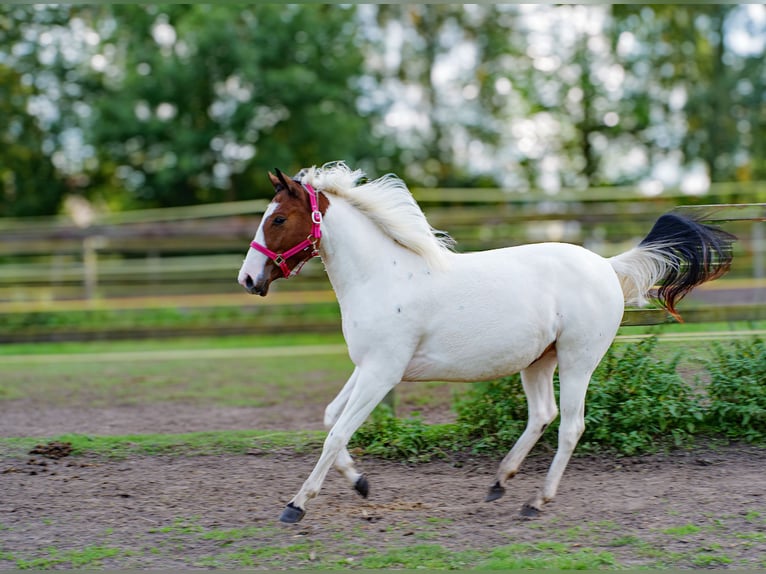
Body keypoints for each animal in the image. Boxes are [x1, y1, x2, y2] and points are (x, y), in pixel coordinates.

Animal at [237, 162, 735, 524]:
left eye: (278, 218)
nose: (247, 279)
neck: (383, 276)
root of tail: (608, 266)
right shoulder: (367, 367)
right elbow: (329, 418)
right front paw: (360, 483)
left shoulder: (383, 372)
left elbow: (336, 432)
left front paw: (296, 505)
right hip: (538, 362)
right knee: (543, 415)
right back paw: (500, 482)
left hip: (578, 360)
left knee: (570, 425)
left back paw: (536, 501)